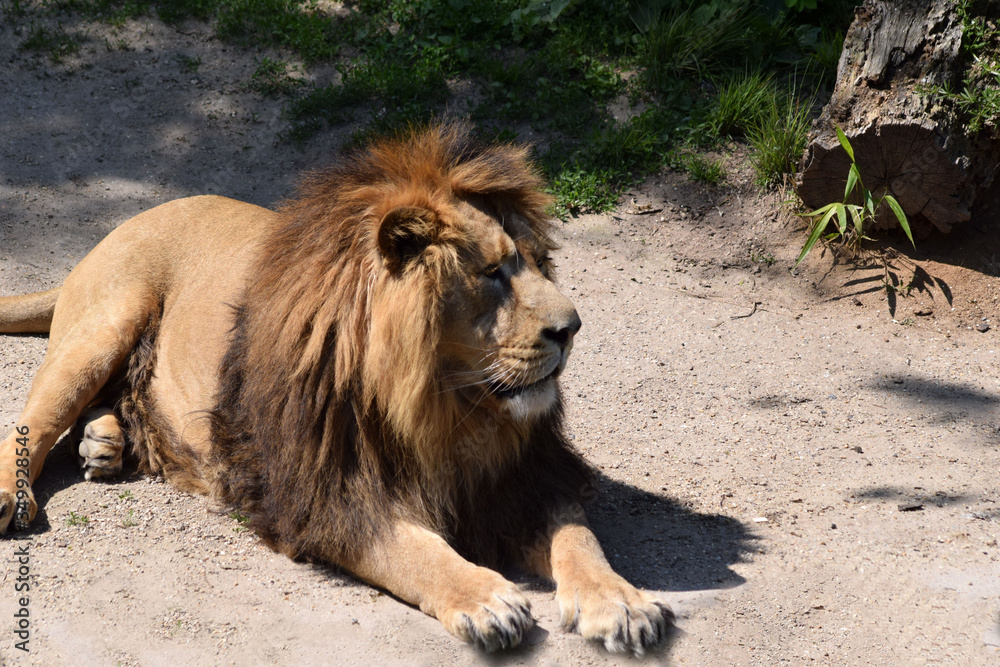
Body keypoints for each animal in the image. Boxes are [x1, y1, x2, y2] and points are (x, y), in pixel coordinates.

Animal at [0, 124, 673, 653]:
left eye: (536, 263)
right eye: (492, 273)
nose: (572, 328)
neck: (445, 408)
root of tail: (123, 222)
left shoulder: (524, 477)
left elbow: (578, 536)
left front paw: (622, 601)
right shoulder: (323, 491)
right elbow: (409, 548)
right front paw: (485, 598)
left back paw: (104, 443)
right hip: (104, 326)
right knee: (34, 418)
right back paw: (18, 490)